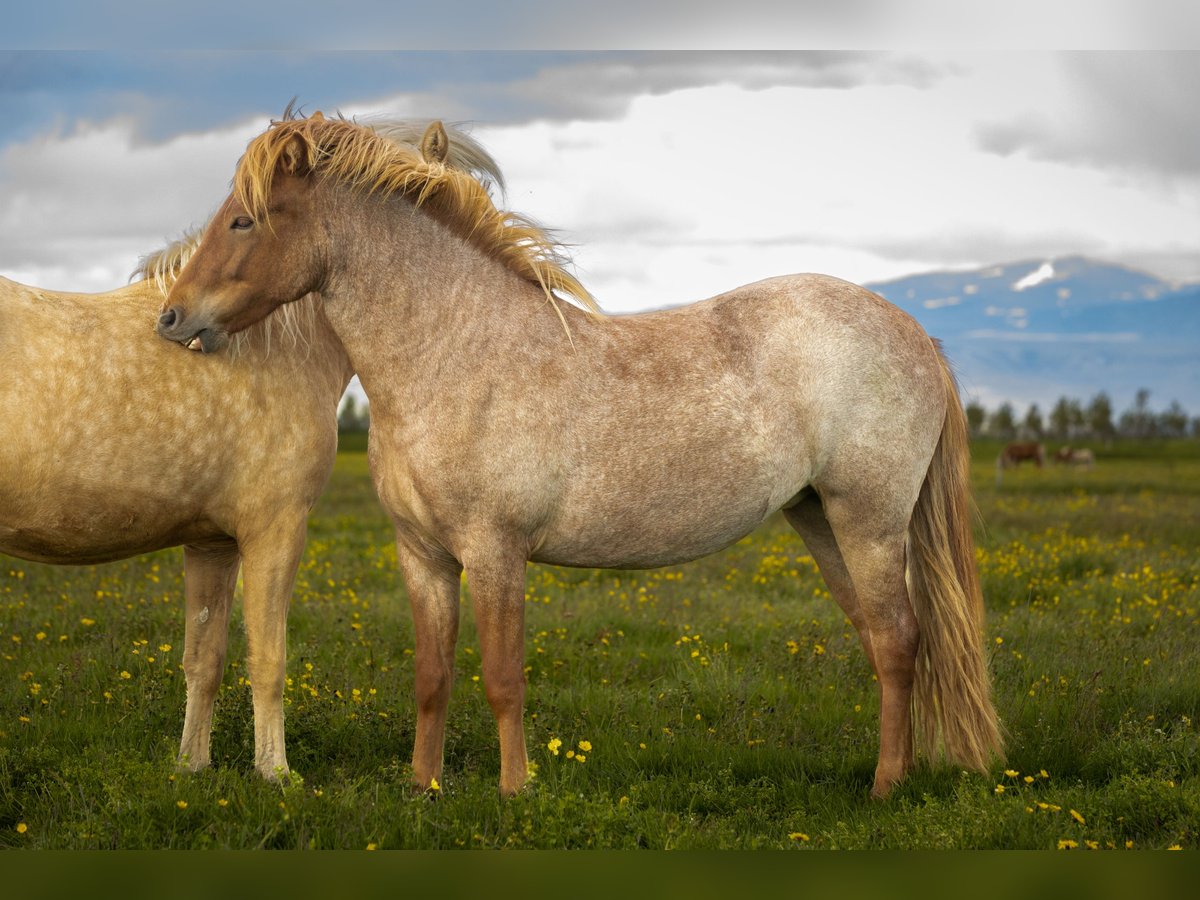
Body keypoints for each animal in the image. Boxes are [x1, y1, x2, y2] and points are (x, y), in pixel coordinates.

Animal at [0, 120, 501, 782]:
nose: (177, 322)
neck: (274, 341)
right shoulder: (275, 531)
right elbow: (268, 659)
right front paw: (276, 773)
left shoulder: (212, 543)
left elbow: (203, 660)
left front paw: (191, 766)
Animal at [159, 111, 1003, 796]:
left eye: (242, 221)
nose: (172, 317)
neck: (457, 352)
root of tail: (913, 331)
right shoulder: (422, 556)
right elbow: (433, 677)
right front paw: (424, 787)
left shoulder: (496, 552)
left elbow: (503, 678)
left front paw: (515, 790)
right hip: (821, 520)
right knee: (883, 640)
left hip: (869, 522)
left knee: (899, 641)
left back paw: (885, 788)